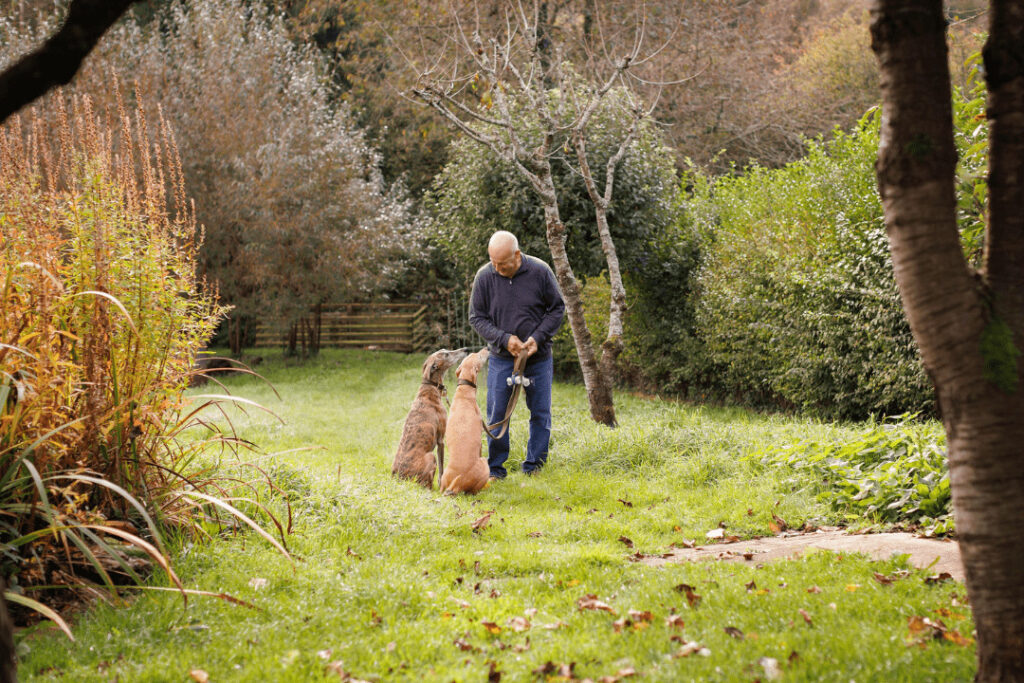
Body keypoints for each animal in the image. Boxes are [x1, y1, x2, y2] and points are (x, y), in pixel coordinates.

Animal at [391, 350, 468, 489]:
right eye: (446, 354)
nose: (465, 349)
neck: (430, 388)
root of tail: (399, 479)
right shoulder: (441, 440)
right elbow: (442, 470)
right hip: (431, 457)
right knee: (427, 485)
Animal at [438, 350, 489, 493]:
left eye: (474, 353)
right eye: (479, 356)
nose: (487, 349)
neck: (464, 391)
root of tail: (457, 482)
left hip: (444, 478)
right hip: (484, 463)